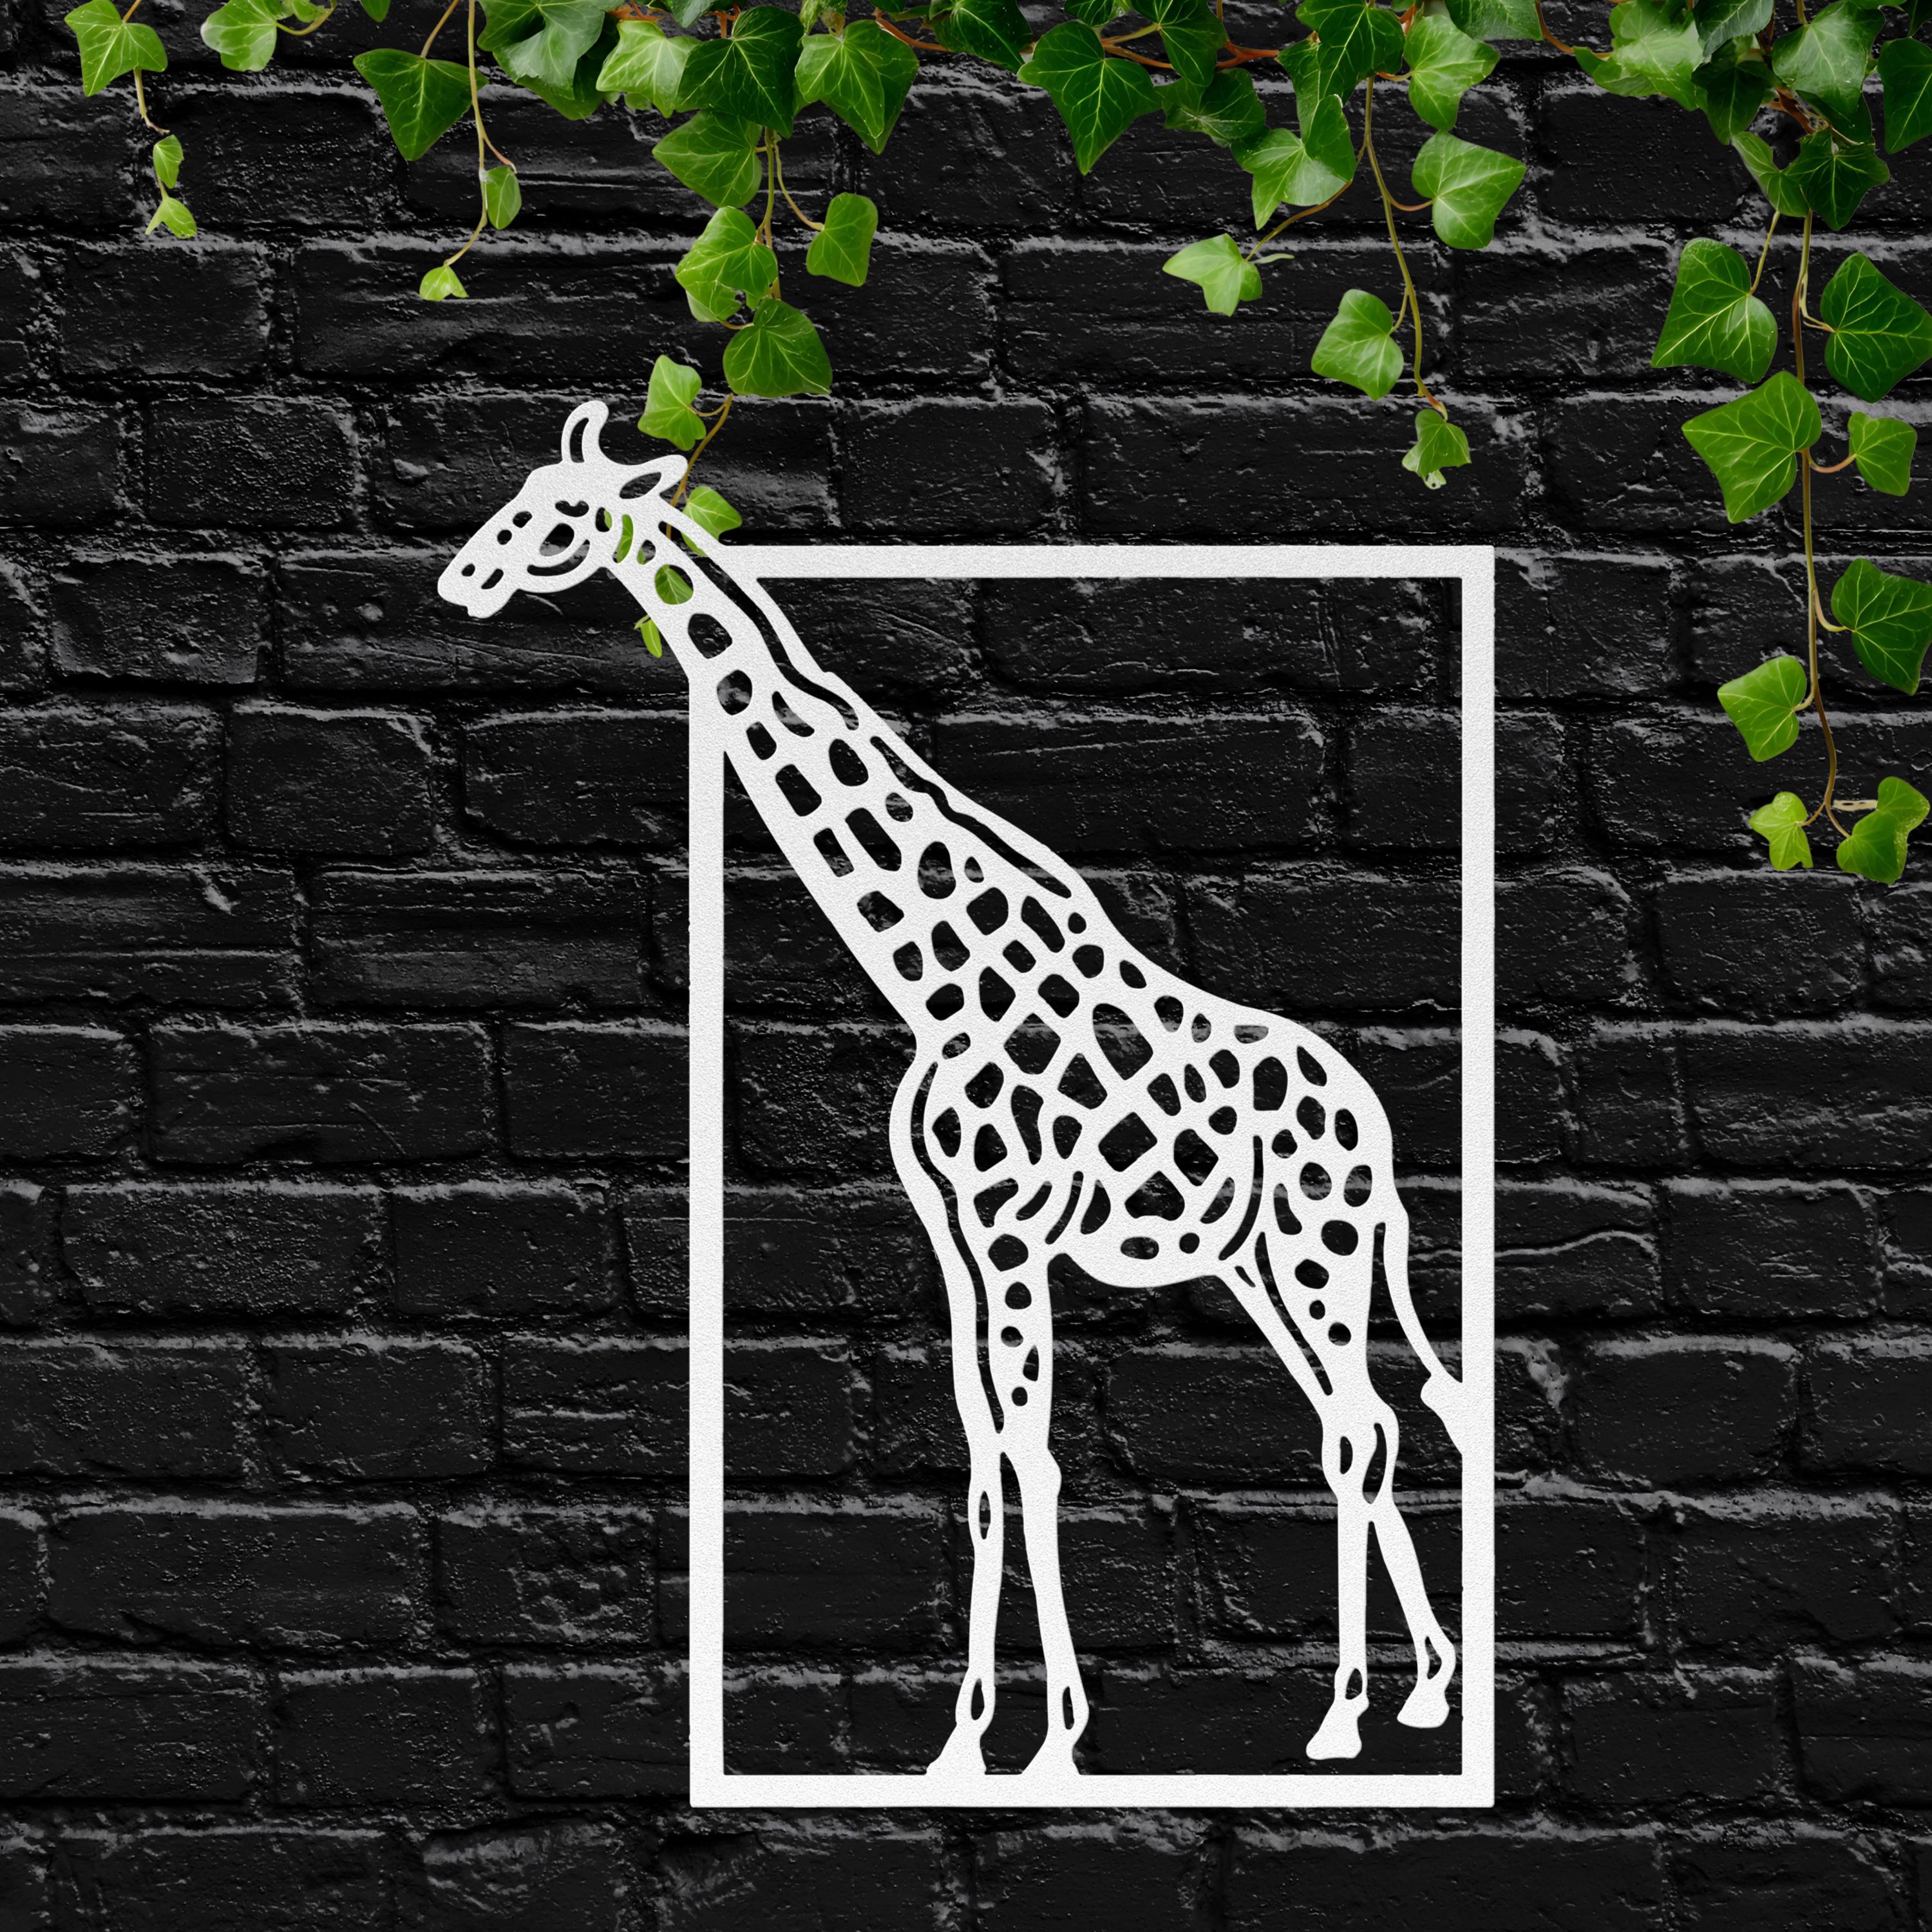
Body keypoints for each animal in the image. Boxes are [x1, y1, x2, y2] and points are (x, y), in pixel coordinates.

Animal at [438, 400, 1472, 1778]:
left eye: (561, 513)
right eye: (517, 491)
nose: (463, 579)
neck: (941, 980)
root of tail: (1375, 1127)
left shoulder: (1017, 1233)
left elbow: (1034, 1462)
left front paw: (1058, 1742)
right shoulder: (955, 1238)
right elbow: (981, 1466)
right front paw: (963, 1742)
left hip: (1321, 1247)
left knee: (1361, 1427)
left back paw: (1351, 1710)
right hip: (1258, 1261)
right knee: (1364, 1426)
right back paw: (1412, 1696)